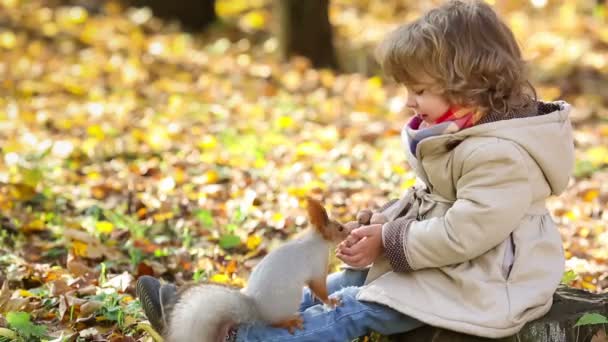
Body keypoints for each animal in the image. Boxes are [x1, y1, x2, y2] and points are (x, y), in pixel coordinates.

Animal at [136, 196, 350, 342]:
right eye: (339, 228)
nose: (349, 231)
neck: (316, 241)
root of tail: (257, 311)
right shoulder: (317, 266)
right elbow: (319, 287)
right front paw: (331, 301)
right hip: (288, 301)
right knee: (274, 322)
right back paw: (290, 322)